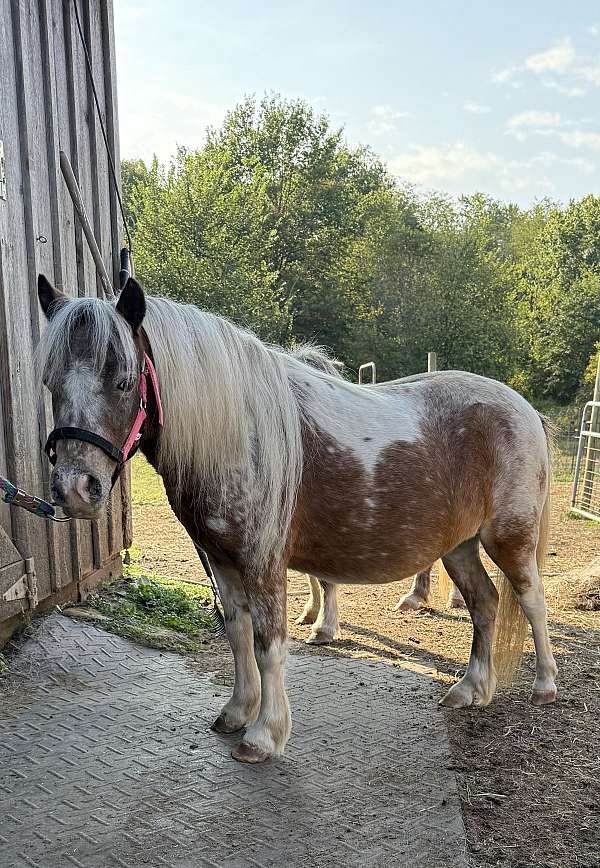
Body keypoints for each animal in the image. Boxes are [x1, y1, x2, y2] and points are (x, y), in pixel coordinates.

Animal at [36, 274, 558, 765]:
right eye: (50, 383)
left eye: (124, 381)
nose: (75, 488)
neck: (239, 435)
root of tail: (523, 408)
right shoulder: (222, 562)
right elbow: (238, 634)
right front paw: (236, 712)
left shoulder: (263, 563)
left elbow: (269, 643)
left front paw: (263, 735)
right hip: (459, 544)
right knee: (485, 604)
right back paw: (471, 690)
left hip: (509, 538)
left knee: (530, 599)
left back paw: (545, 685)